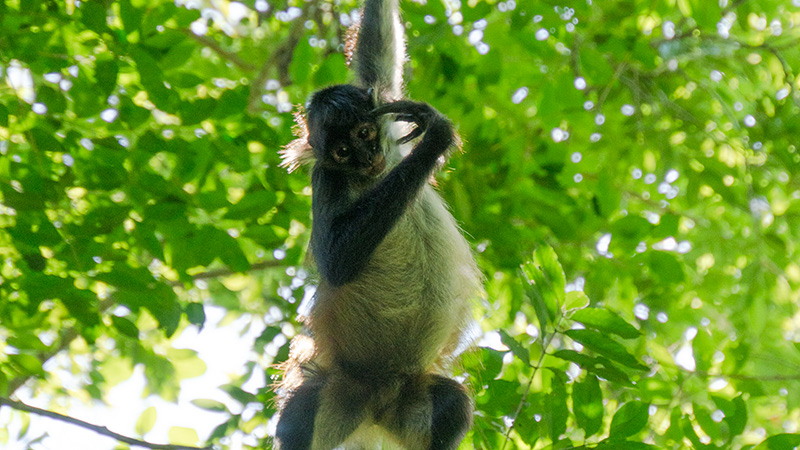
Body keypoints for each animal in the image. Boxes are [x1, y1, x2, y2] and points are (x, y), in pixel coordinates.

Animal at [274, 0, 482, 448]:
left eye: (365, 132)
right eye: (342, 151)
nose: (366, 157)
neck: (371, 176)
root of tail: (376, 400)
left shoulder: (383, 110)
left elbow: (377, 46)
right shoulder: (327, 177)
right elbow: (336, 260)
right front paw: (435, 139)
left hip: (413, 402)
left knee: (454, 406)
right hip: (336, 393)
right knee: (299, 416)